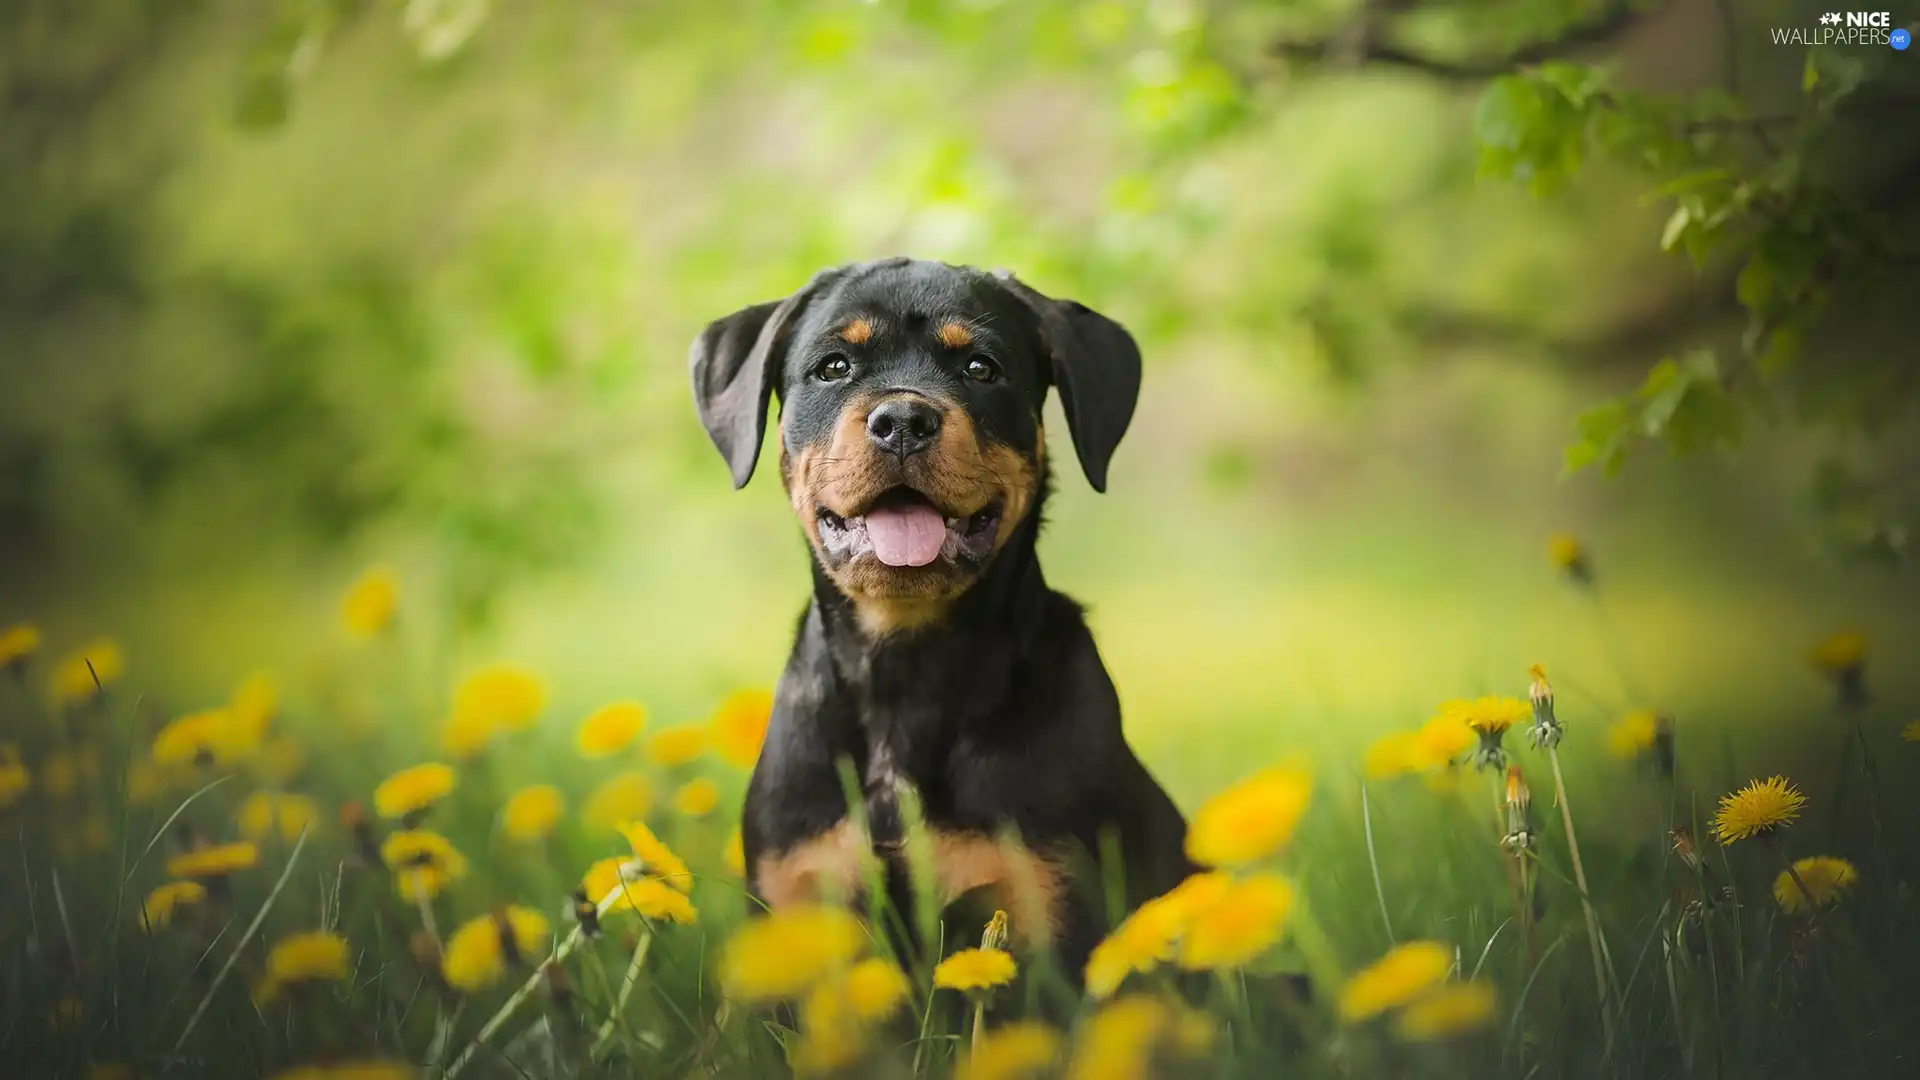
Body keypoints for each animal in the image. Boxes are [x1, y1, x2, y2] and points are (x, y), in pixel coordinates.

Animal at [691, 255, 1190, 980]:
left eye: (981, 368)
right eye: (834, 367)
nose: (902, 418)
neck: (905, 668)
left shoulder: (1051, 904)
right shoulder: (793, 898)